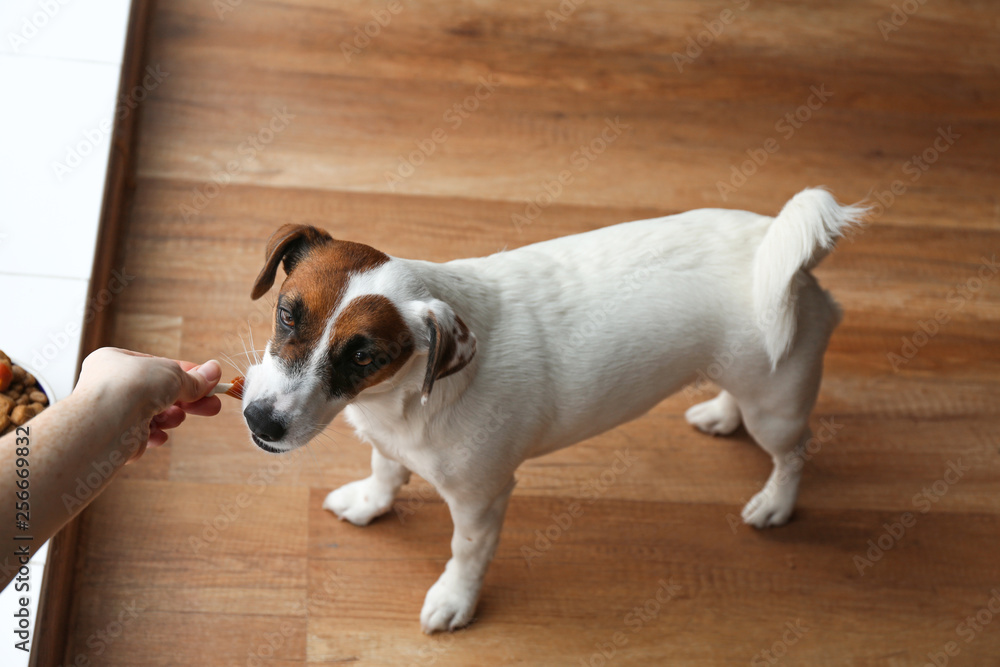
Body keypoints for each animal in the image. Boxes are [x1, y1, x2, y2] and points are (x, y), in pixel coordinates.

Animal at [238, 187, 864, 632]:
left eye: (365, 356)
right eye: (287, 313)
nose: (260, 422)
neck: (401, 401)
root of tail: (784, 256)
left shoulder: (482, 499)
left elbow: (466, 554)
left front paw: (455, 600)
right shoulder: (391, 448)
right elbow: (385, 475)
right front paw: (370, 503)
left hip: (778, 407)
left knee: (793, 455)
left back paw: (776, 502)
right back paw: (721, 413)